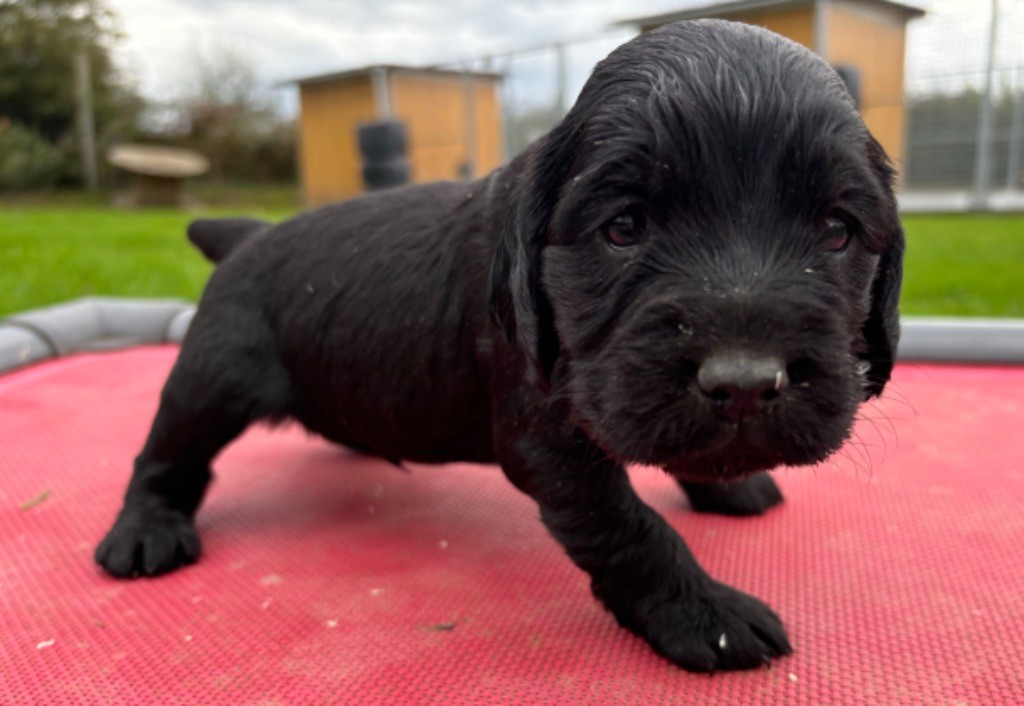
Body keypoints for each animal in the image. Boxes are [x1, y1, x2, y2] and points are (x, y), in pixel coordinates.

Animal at [94, 20, 905, 672]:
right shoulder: (547, 440)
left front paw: (724, 483)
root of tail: (248, 236)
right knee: (165, 453)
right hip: (211, 379)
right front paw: (704, 614)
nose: (743, 385)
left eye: (836, 231)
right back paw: (144, 530)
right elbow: (632, 529)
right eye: (623, 226)